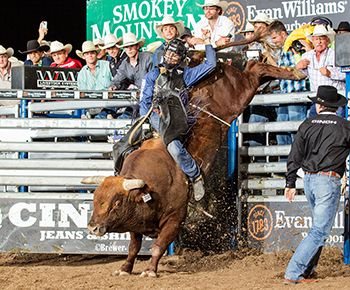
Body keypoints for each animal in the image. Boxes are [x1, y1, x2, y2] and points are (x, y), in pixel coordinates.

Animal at [84, 59, 304, 276]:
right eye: (95, 200)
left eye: (116, 203)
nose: (92, 228)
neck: (150, 187)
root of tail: (220, 65)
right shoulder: (136, 222)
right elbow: (133, 246)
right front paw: (125, 268)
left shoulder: (175, 218)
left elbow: (158, 246)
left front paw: (150, 270)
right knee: (253, 66)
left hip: (241, 91)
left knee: (256, 69)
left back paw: (296, 72)